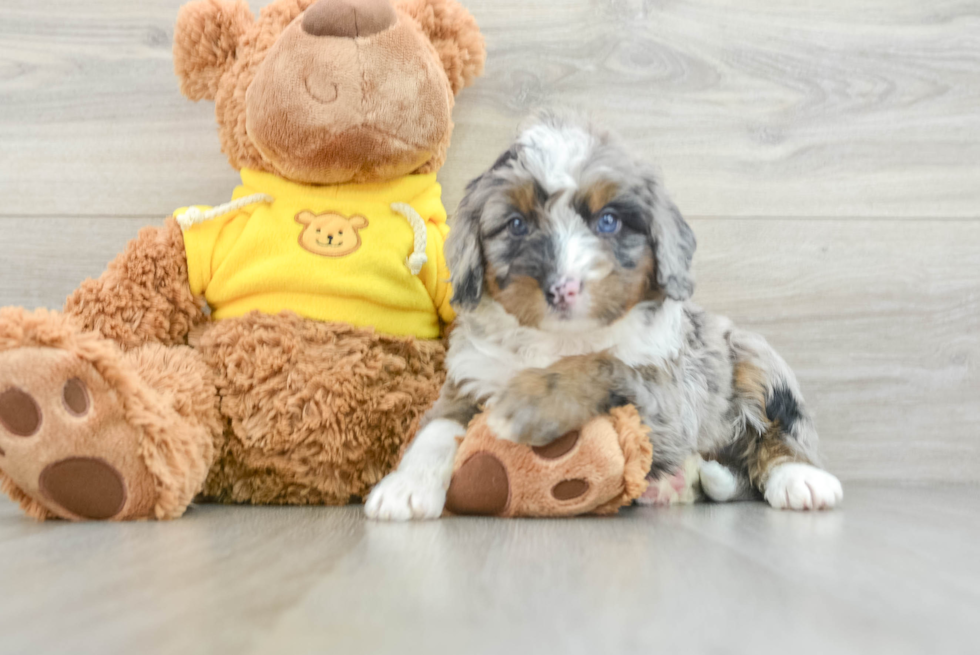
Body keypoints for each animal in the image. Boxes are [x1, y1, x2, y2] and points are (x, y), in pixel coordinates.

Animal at [366, 114, 844, 524]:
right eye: (517, 225)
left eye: (608, 221)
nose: (563, 288)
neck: (558, 340)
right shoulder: (470, 376)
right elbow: (437, 428)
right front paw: (405, 488)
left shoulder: (670, 397)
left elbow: (601, 364)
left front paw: (530, 402)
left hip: (754, 355)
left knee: (780, 431)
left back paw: (801, 478)